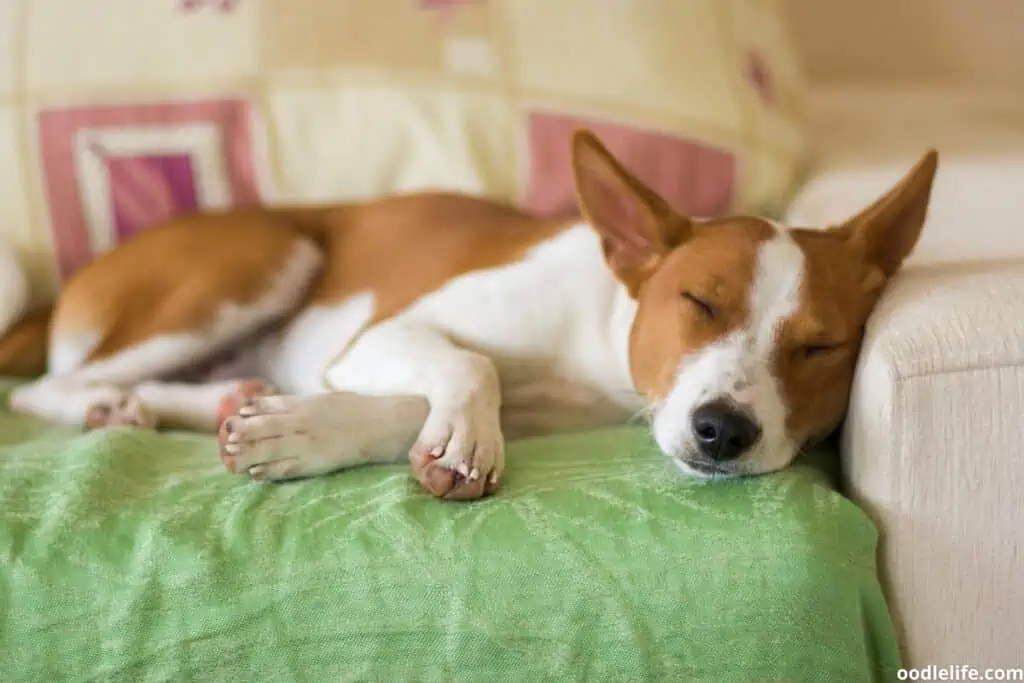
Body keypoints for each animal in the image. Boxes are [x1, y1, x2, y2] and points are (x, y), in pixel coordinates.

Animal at [0, 132, 937, 501]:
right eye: (699, 300)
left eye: (822, 346)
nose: (723, 431)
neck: (594, 336)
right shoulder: (382, 334)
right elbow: (466, 365)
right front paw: (452, 436)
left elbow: (410, 407)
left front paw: (309, 430)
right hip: (267, 257)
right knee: (45, 386)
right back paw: (108, 403)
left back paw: (222, 398)